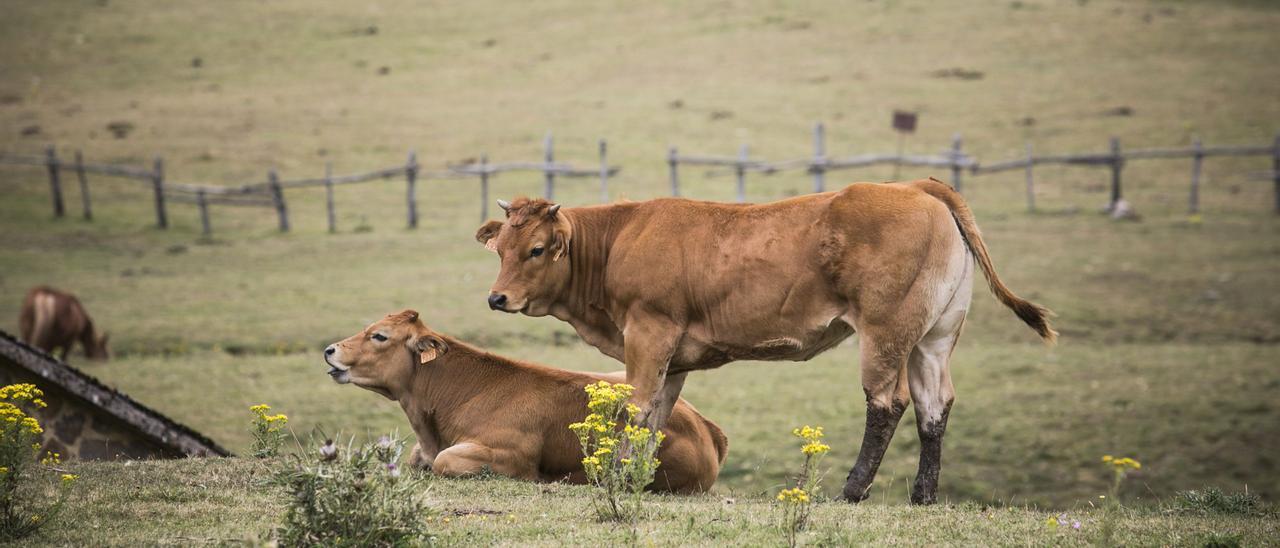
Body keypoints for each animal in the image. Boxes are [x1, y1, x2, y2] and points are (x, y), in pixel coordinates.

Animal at [476, 179, 1054, 504]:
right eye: (499, 248)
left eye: (536, 249)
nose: (496, 298)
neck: (619, 240)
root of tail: (917, 187)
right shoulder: (672, 354)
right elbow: (658, 413)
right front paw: (638, 476)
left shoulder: (648, 330)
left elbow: (637, 408)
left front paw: (616, 479)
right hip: (934, 336)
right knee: (934, 406)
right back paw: (923, 496)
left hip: (885, 332)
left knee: (887, 403)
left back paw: (850, 491)